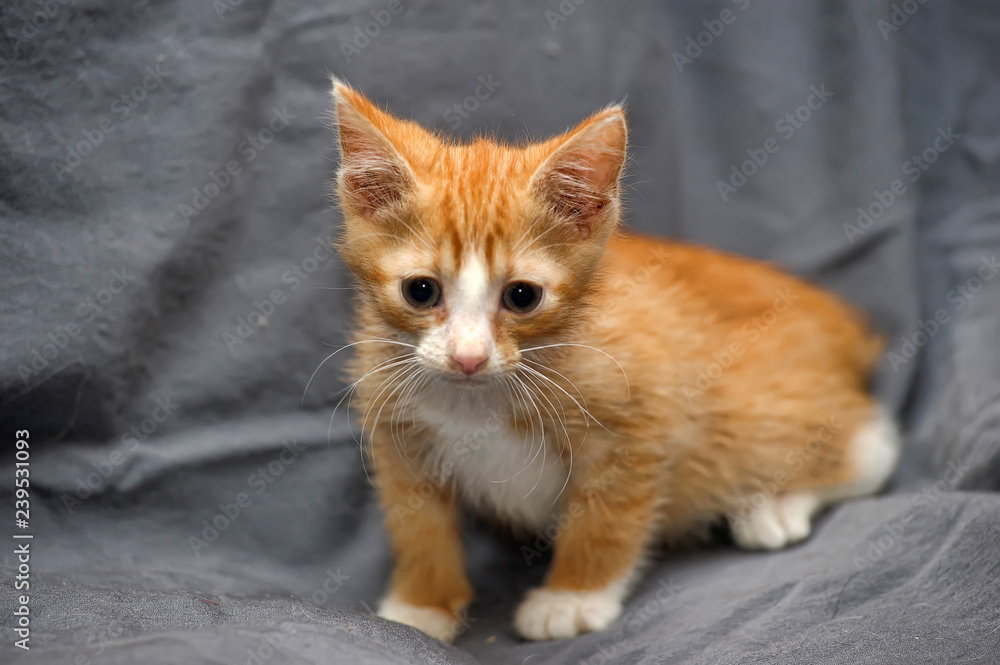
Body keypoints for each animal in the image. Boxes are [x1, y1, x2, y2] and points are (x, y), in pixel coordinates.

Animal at [328, 80, 900, 640]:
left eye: (522, 297)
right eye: (420, 291)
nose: (468, 357)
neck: (479, 399)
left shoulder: (643, 411)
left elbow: (607, 517)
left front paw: (573, 596)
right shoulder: (396, 429)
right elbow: (416, 522)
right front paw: (420, 603)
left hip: (753, 410)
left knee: (867, 444)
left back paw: (776, 504)